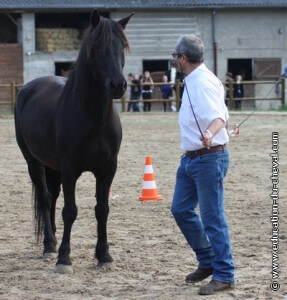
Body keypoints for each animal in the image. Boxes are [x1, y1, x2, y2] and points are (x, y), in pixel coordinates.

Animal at [14, 9, 134, 274]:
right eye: (98, 46)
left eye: (123, 45)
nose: (118, 85)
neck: (94, 118)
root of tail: (27, 88)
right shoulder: (70, 168)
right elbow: (70, 211)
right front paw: (64, 259)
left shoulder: (108, 169)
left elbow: (102, 210)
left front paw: (104, 256)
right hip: (33, 162)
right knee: (45, 198)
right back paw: (50, 246)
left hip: (53, 167)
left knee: (52, 198)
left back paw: (52, 243)